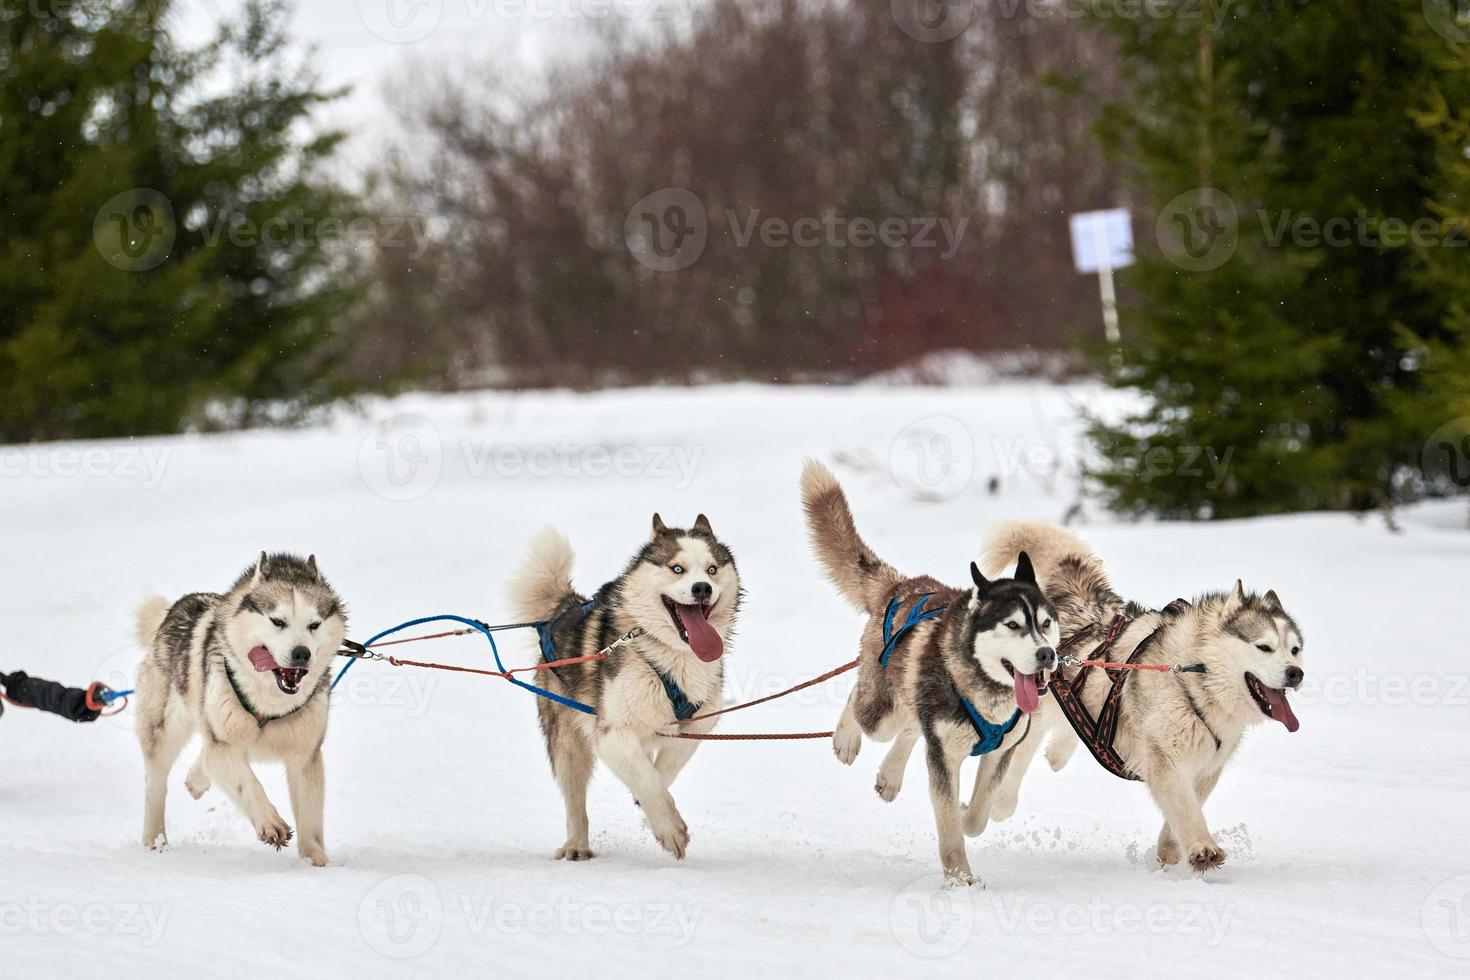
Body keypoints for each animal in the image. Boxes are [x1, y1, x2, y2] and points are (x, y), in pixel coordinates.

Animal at [133, 552, 346, 863]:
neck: (270, 703)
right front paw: (270, 823)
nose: (301, 654)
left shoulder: (305, 755)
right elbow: (248, 783)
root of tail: (175, 610)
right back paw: (155, 841)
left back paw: (196, 781)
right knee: (156, 783)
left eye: (314, 624)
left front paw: (315, 861)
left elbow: (310, 817)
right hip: (165, 729)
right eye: (277, 621)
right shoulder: (225, 741)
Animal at [511, 514, 740, 858]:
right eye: (677, 568)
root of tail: (565, 611)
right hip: (568, 742)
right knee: (575, 800)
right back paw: (576, 845)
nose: (702, 588)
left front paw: (651, 801)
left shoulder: (698, 722)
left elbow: (663, 769)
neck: (670, 656)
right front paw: (669, 827)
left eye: (712, 569)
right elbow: (646, 779)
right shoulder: (611, 731)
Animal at [799, 461, 1064, 887]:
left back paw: (890, 775)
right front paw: (960, 879)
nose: (1047, 654)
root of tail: (902, 585)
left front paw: (967, 811)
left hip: (916, 706)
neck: (984, 691)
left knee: (911, 726)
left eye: (1045, 623)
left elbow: (975, 817)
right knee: (861, 702)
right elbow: (950, 826)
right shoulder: (943, 758)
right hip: (881, 711)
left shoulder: (1001, 752)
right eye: (1012, 625)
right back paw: (846, 739)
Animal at [976, 520, 1311, 875]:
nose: (1295, 673)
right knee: (1020, 754)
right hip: (1037, 710)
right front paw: (1203, 847)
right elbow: (1186, 808)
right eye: (1264, 647)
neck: (1193, 682)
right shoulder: (1166, 758)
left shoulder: (1208, 767)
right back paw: (1001, 801)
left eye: (1294, 649)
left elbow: (1183, 811)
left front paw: (1170, 853)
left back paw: (1058, 753)